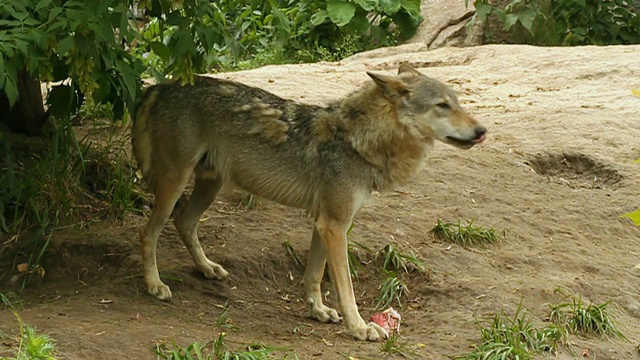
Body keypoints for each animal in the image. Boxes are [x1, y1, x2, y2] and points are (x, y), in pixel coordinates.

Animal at [132, 63, 488, 342]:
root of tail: (162, 86)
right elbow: (346, 288)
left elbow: (314, 276)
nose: (482, 130)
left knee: (185, 222)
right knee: (149, 232)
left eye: (457, 103)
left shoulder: (324, 222)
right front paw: (360, 328)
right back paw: (154, 285)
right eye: (442, 105)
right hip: (175, 183)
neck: (359, 141)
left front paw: (318, 310)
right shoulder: (335, 226)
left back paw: (207, 268)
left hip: (210, 184)